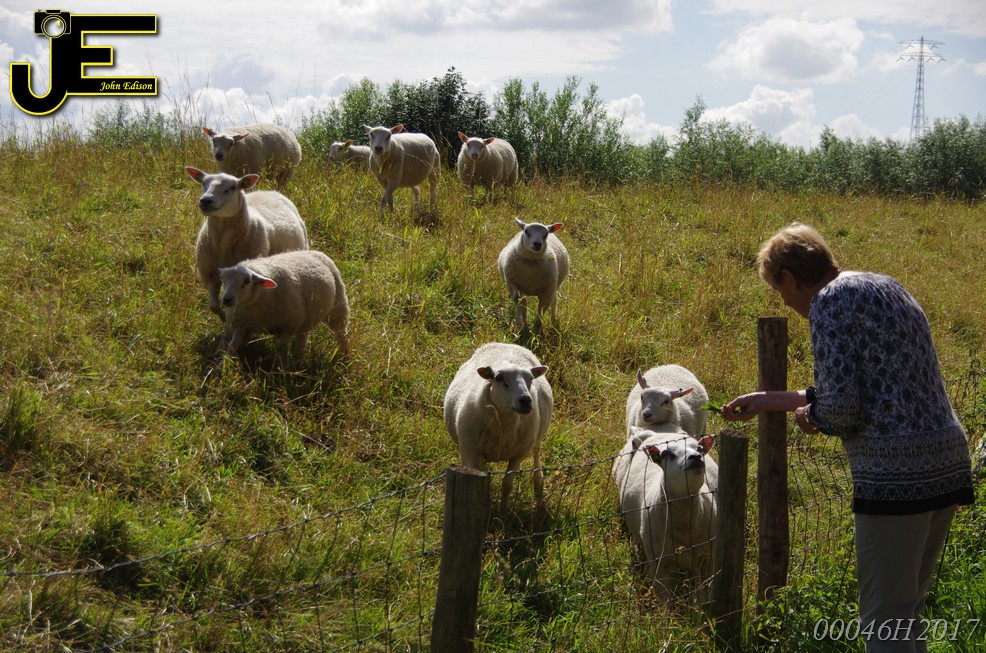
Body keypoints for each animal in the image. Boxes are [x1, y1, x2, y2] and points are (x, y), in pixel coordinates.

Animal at [186, 166, 309, 323]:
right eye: (203, 184)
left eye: (232, 187)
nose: (206, 200)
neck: (223, 245)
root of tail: (269, 191)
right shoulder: (209, 275)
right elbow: (213, 306)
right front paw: (223, 318)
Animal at [218, 249, 349, 369]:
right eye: (223, 280)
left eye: (247, 281)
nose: (227, 300)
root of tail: (313, 251)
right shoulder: (241, 324)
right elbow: (231, 347)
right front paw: (221, 367)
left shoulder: (287, 326)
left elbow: (283, 349)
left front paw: (285, 370)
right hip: (306, 319)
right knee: (302, 339)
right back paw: (297, 362)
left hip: (338, 308)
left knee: (342, 334)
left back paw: (345, 358)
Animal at [443, 342, 553, 511]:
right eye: (498, 378)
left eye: (530, 379)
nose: (526, 400)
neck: (504, 426)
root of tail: (507, 343)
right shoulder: (469, 451)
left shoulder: (517, 456)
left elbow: (507, 485)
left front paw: (503, 510)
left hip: (536, 438)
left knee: (536, 454)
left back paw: (538, 486)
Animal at [613, 425, 718, 599]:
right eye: (666, 454)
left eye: (700, 449)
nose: (696, 457)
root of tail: (662, 432)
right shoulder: (659, 564)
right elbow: (666, 600)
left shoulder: (707, 559)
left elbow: (704, 594)